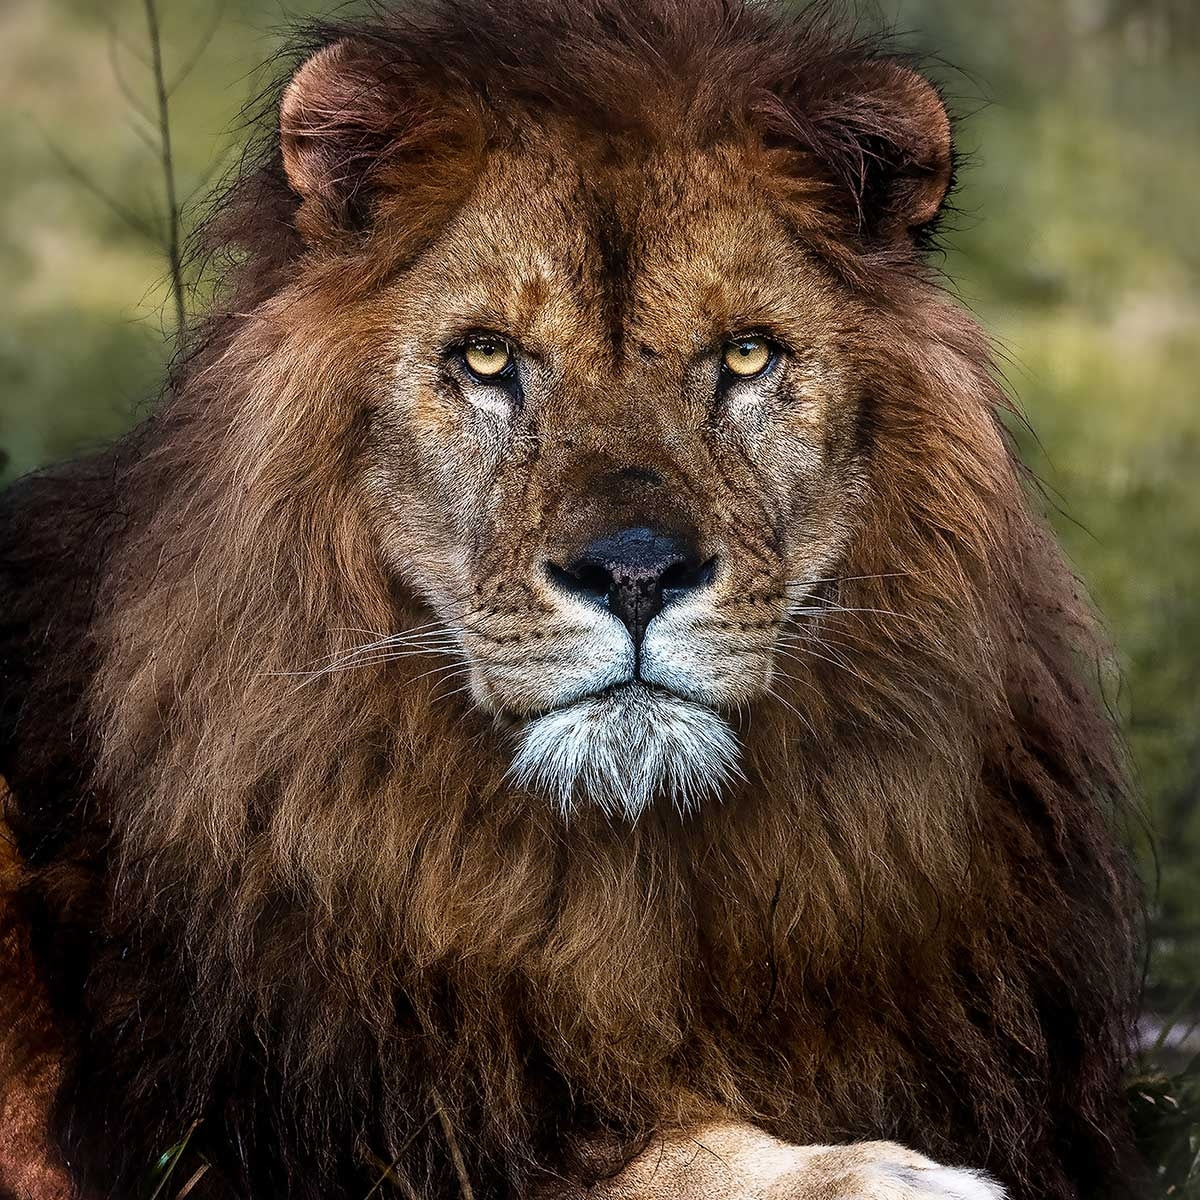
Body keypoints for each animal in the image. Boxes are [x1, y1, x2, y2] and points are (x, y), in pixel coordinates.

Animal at [0, 1, 1142, 1198]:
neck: (631, 867)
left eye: (747, 355)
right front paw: (863, 1173)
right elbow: (635, 1153)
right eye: (487, 358)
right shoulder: (278, 1121)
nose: (634, 573)